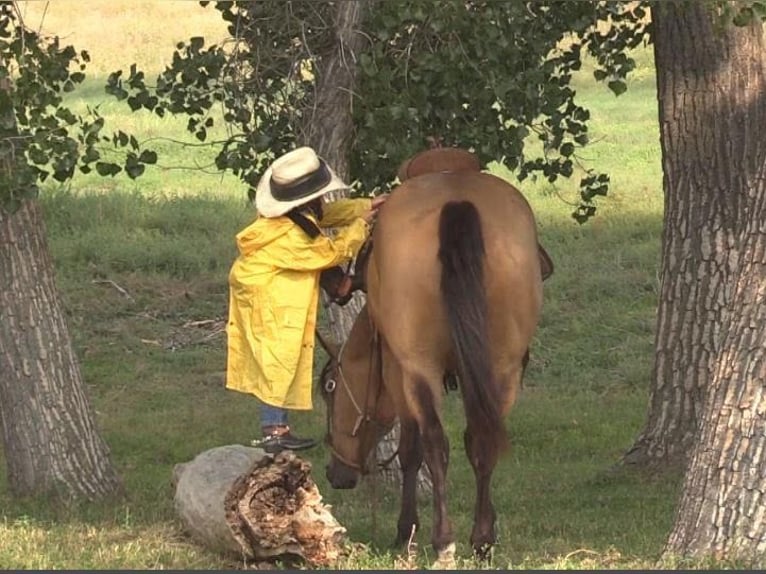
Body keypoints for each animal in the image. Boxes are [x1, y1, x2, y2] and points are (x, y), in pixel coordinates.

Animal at [320, 148, 548, 568]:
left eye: (329, 389)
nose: (336, 473)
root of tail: (456, 203)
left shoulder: (397, 370)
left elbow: (411, 450)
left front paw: (405, 530)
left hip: (420, 368)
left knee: (436, 445)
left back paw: (444, 542)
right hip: (503, 367)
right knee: (482, 440)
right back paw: (481, 539)